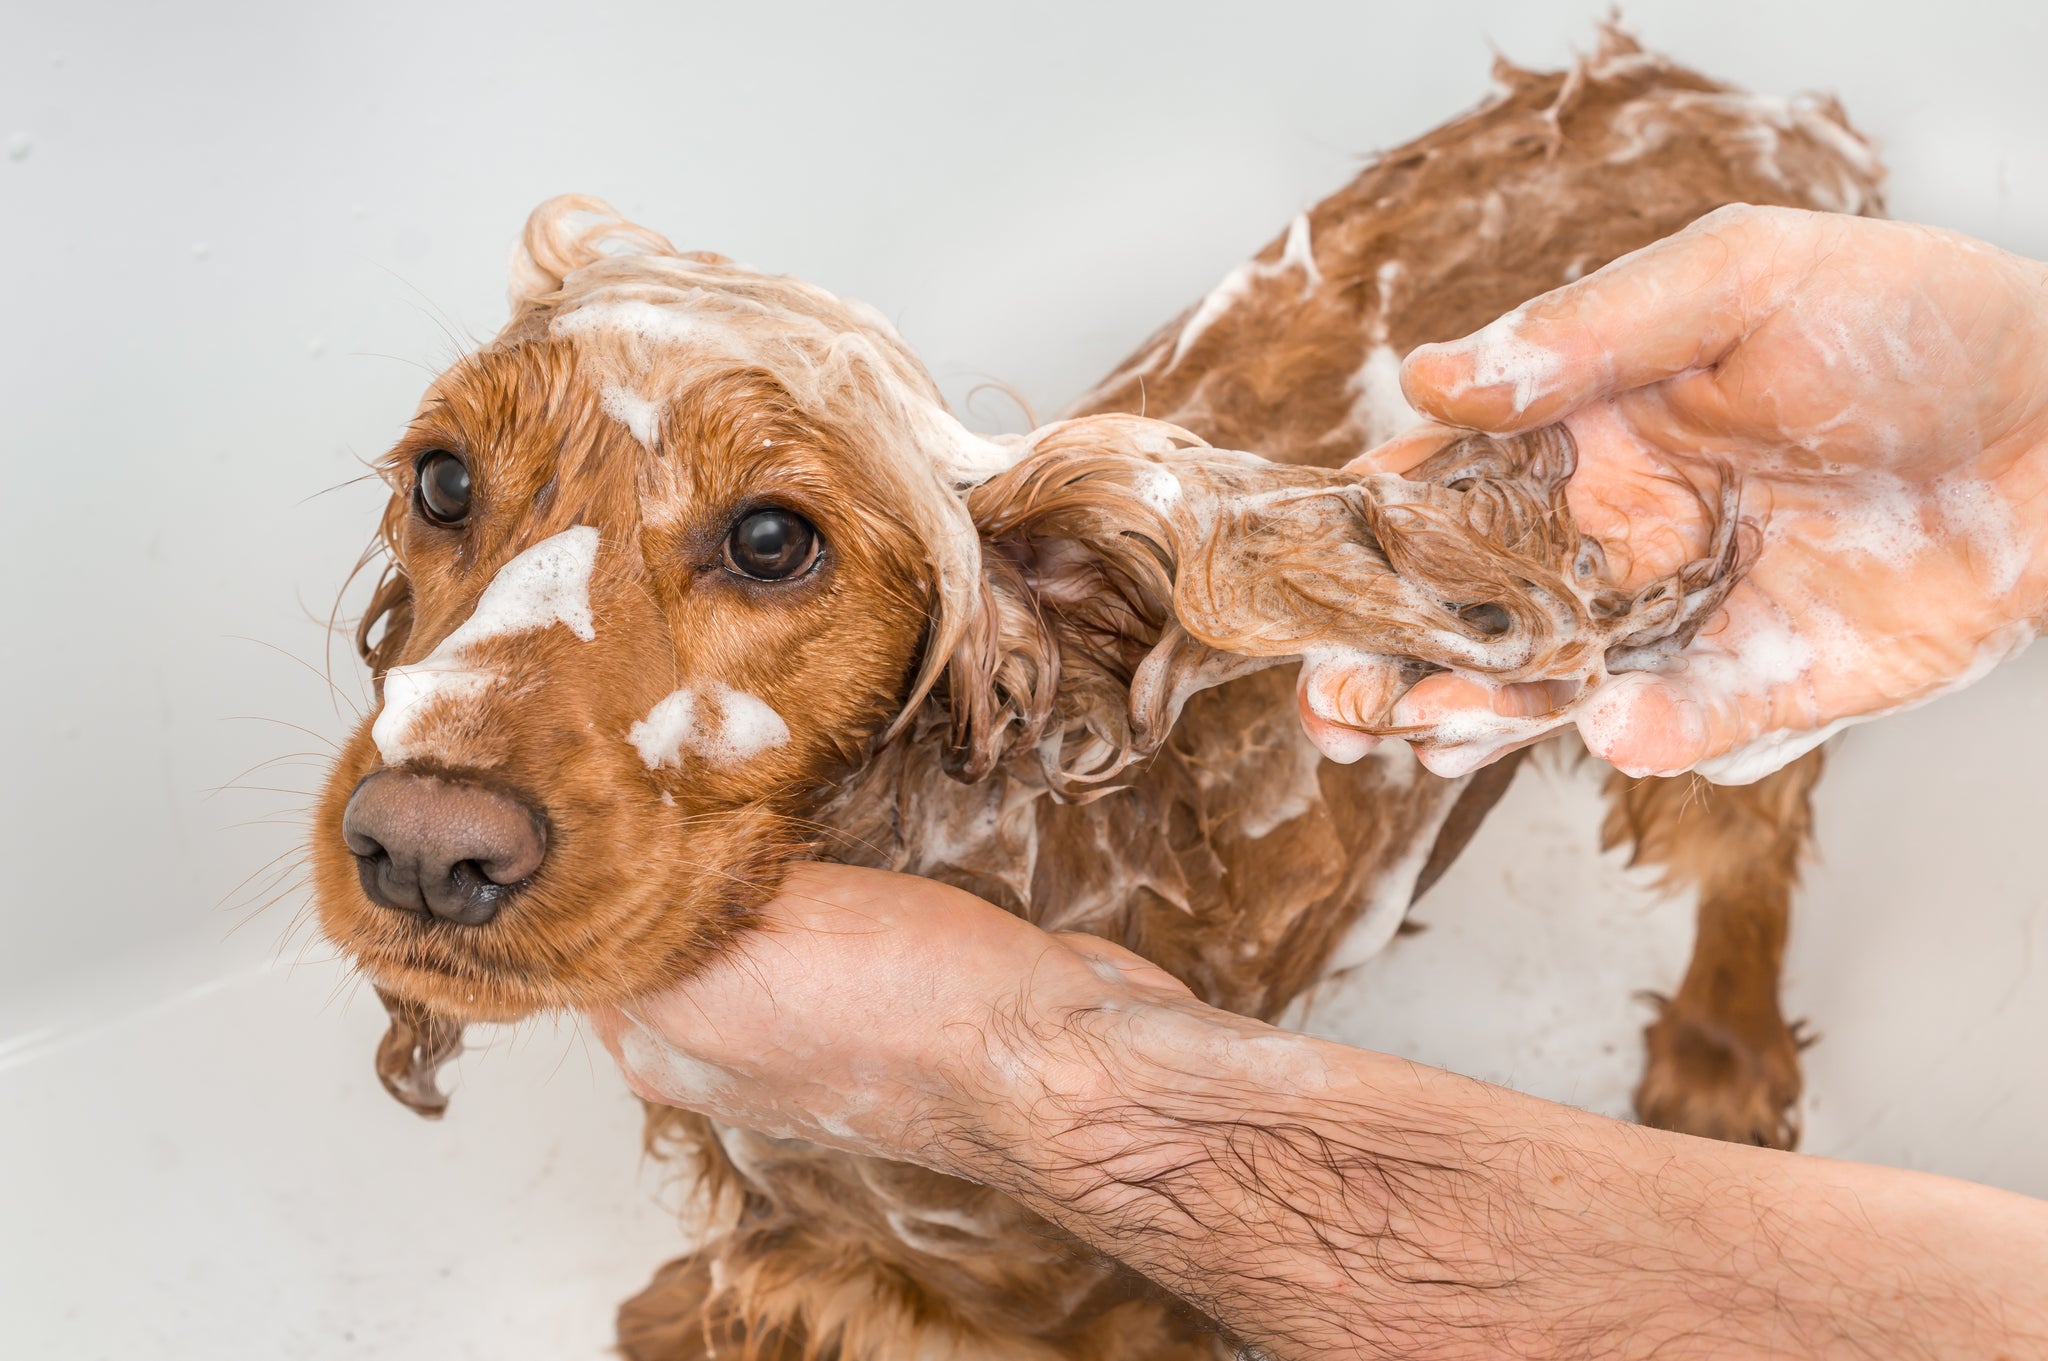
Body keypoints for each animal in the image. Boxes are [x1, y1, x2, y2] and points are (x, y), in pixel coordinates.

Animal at [311, 31, 1875, 1358]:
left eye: (769, 538)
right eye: (441, 481)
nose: (427, 849)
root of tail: (1756, 99)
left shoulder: (1110, 1302)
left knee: (1750, 837)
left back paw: (1721, 1060)